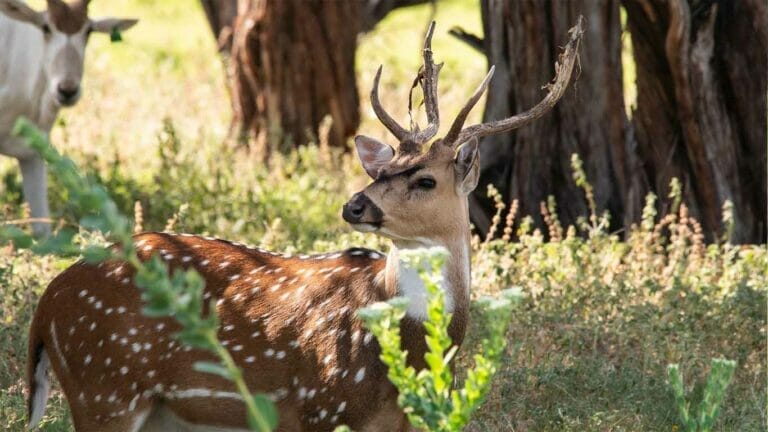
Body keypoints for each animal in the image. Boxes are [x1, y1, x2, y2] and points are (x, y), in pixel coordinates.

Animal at [25, 20, 584, 432]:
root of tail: (46, 304)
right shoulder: (318, 404)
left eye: (425, 179)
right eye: (380, 170)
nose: (355, 205)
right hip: (105, 387)